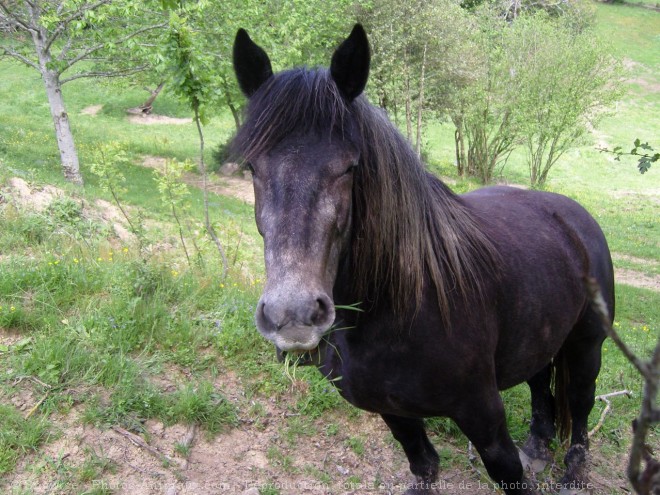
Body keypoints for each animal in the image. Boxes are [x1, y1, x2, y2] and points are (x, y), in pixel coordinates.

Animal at [231, 24, 612, 495]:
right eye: (252, 167)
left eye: (350, 167)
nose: (293, 315)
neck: (405, 304)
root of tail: (573, 215)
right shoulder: (393, 409)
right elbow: (423, 463)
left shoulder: (483, 415)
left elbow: (507, 471)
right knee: (542, 385)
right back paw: (539, 448)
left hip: (586, 346)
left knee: (580, 407)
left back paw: (574, 472)